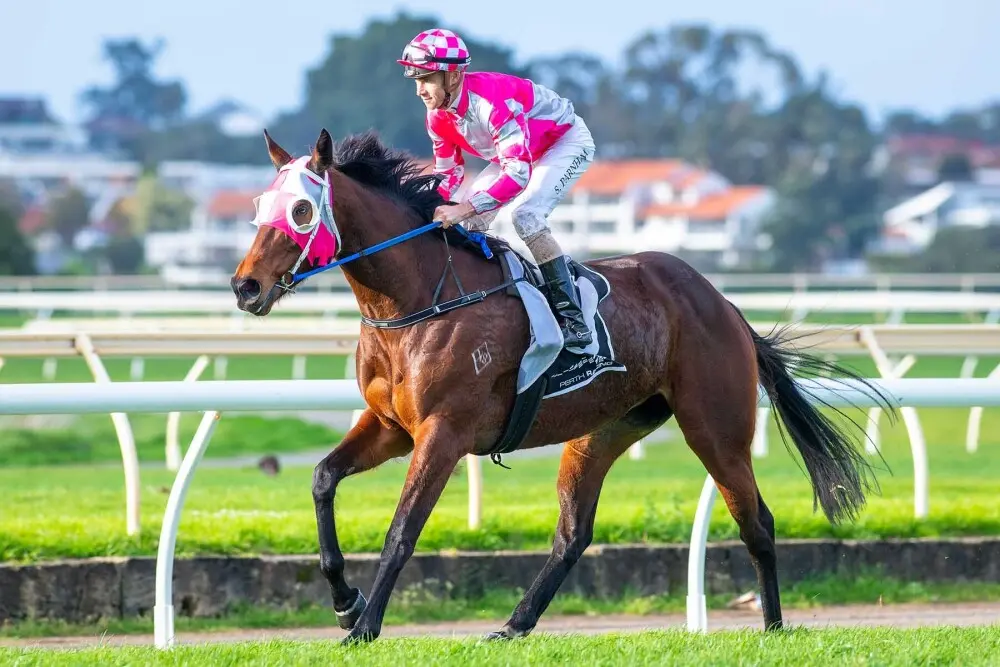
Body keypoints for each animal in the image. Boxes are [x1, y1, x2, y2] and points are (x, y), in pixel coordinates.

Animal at [230, 127, 893, 644]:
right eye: (260, 205)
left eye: (301, 211)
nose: (245, 287)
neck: (416, 299)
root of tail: (724, 304)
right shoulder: (391, 427)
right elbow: (322, 479)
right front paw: (346, 603)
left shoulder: (443, 434)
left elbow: (402, 530)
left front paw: (365, 627)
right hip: (602, 431)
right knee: (574, 534)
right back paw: (513, 625)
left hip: (716, 427)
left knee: (757, 521)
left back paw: (774, 628)